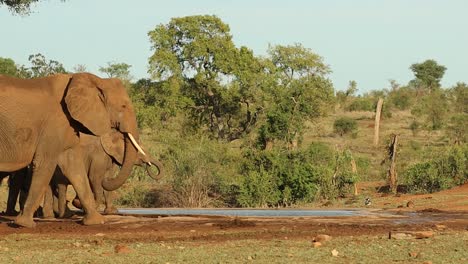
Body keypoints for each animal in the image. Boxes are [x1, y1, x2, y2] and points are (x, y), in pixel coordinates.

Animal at [0, 72, 148, 227]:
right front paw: (24, 224)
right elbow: (45, 164)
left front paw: (95, 221)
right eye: (123, 106)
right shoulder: (54, 124)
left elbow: (73, 166)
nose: (74, 201)